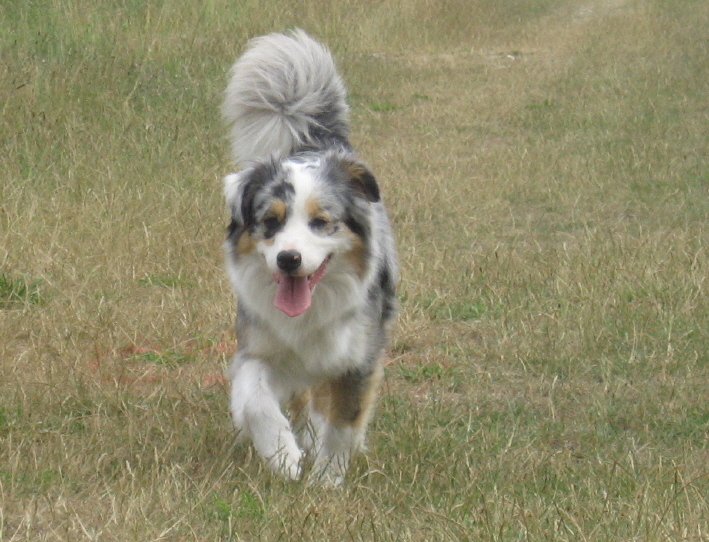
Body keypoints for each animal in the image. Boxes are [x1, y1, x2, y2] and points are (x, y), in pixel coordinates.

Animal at [220, 29, 396, 486]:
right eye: (270, 221)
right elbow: (254, 400)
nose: (289, 260)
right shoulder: (257, 347)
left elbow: (343, 423)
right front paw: (283, 456)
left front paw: (326, 481)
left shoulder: (358, 358)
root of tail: (315, 142)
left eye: (321, 222)